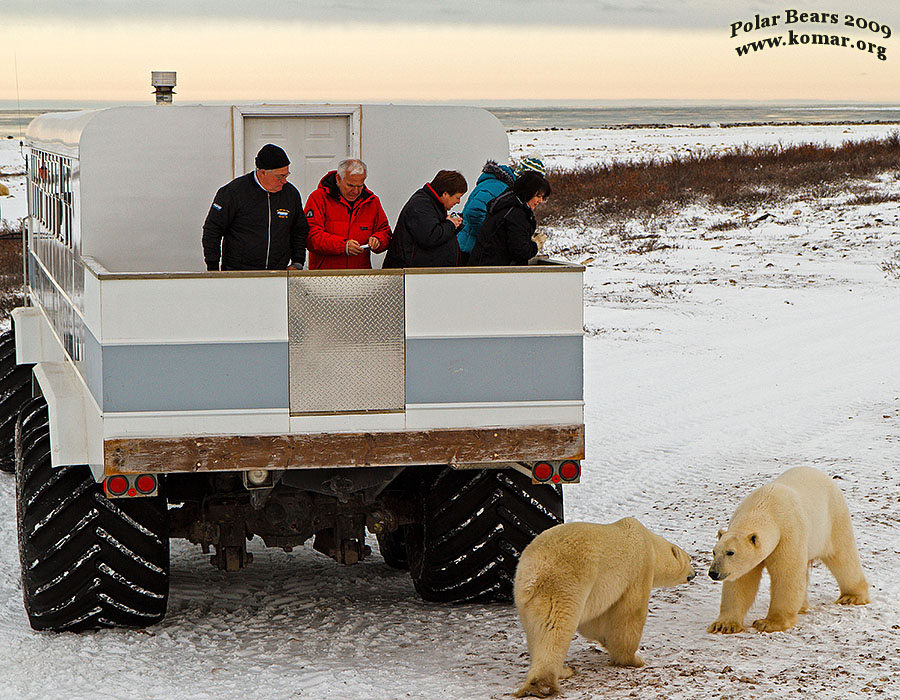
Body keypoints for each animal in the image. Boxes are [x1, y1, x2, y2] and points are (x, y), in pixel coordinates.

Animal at [512, 516, 696, 696]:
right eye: (690, 559)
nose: (694, 573)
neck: (649, 542)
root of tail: (533, 573)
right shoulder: (638, 569)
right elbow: (630, 614)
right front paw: (633, 659)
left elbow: (594, 621)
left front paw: (606, 640)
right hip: (563, 585)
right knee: (555, 629)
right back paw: (544, 684)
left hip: (526, 601)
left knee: (536, 632)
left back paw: (561, 671)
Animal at [708, 464, 868, 636]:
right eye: (714, 552)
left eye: (731, 552)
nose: (713, 573)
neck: (764, 505)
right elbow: (741, 581)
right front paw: (724, 625)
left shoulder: (788, 533)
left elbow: (786, 575)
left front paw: (768, 623)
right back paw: (803, 607)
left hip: (832, 520)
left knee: (843, 556)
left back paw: (851, 597)